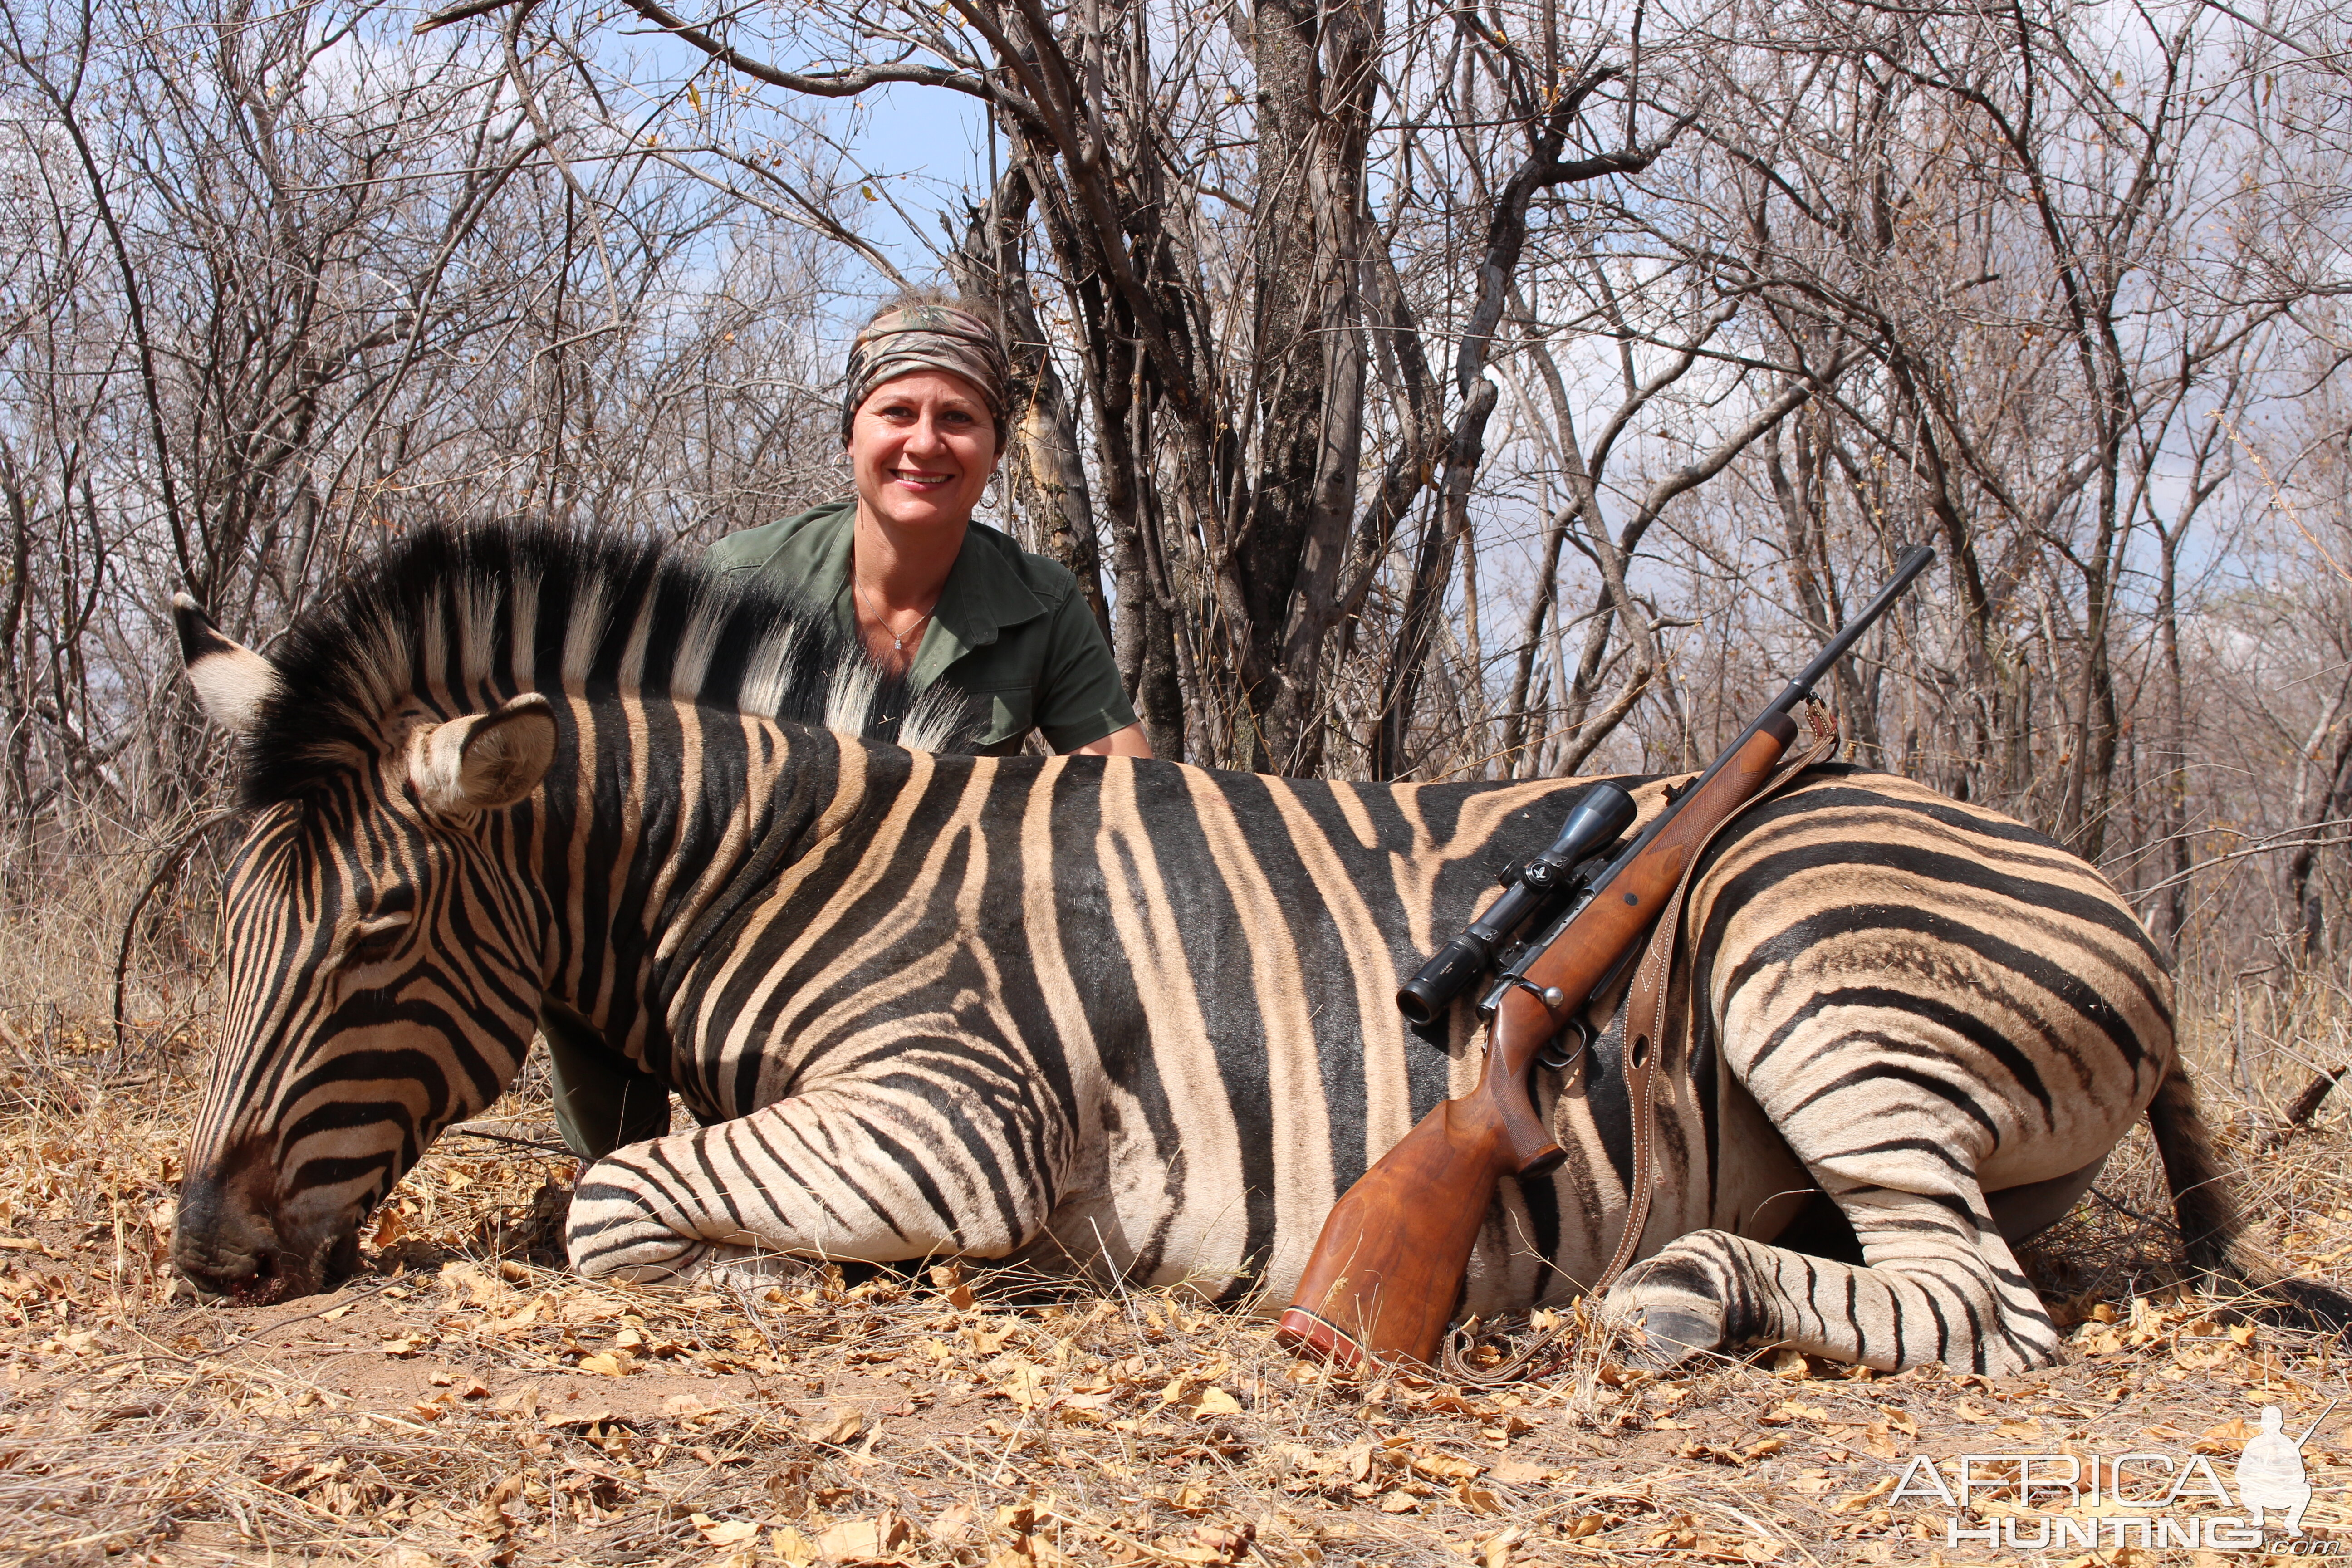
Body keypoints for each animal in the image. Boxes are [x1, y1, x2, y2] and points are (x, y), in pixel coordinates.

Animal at [170, 526, 2352, 1372]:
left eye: (374, 930)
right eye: (240, 921)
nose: (201, 1243)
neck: (809, 865)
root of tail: (2105, 894)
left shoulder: (954, 1112)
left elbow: (610, 1209)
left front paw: (842, 1275)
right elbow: (605, 1193)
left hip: (1798, 952)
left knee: (1981, 1309)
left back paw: (1660, 1298)